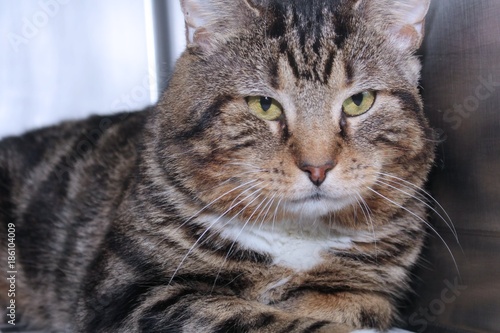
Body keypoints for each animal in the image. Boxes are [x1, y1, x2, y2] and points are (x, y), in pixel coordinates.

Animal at [0, 0, 434, 330]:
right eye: (264, 105)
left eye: (359, 101)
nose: (317, 167)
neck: (296, 236)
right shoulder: (130, 294)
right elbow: (255, 317)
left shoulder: (372, 286)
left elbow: (353, 301)